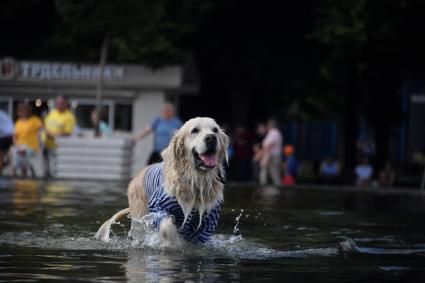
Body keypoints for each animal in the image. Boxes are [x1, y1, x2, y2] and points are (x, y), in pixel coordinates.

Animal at [94, 116, 229, 247]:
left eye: (215, 130)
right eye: (195, 130)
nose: (211, 137)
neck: (195, 181)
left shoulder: (209, 220)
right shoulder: (159, 207)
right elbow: (167, 225)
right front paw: (172, 243)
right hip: (140, 216)